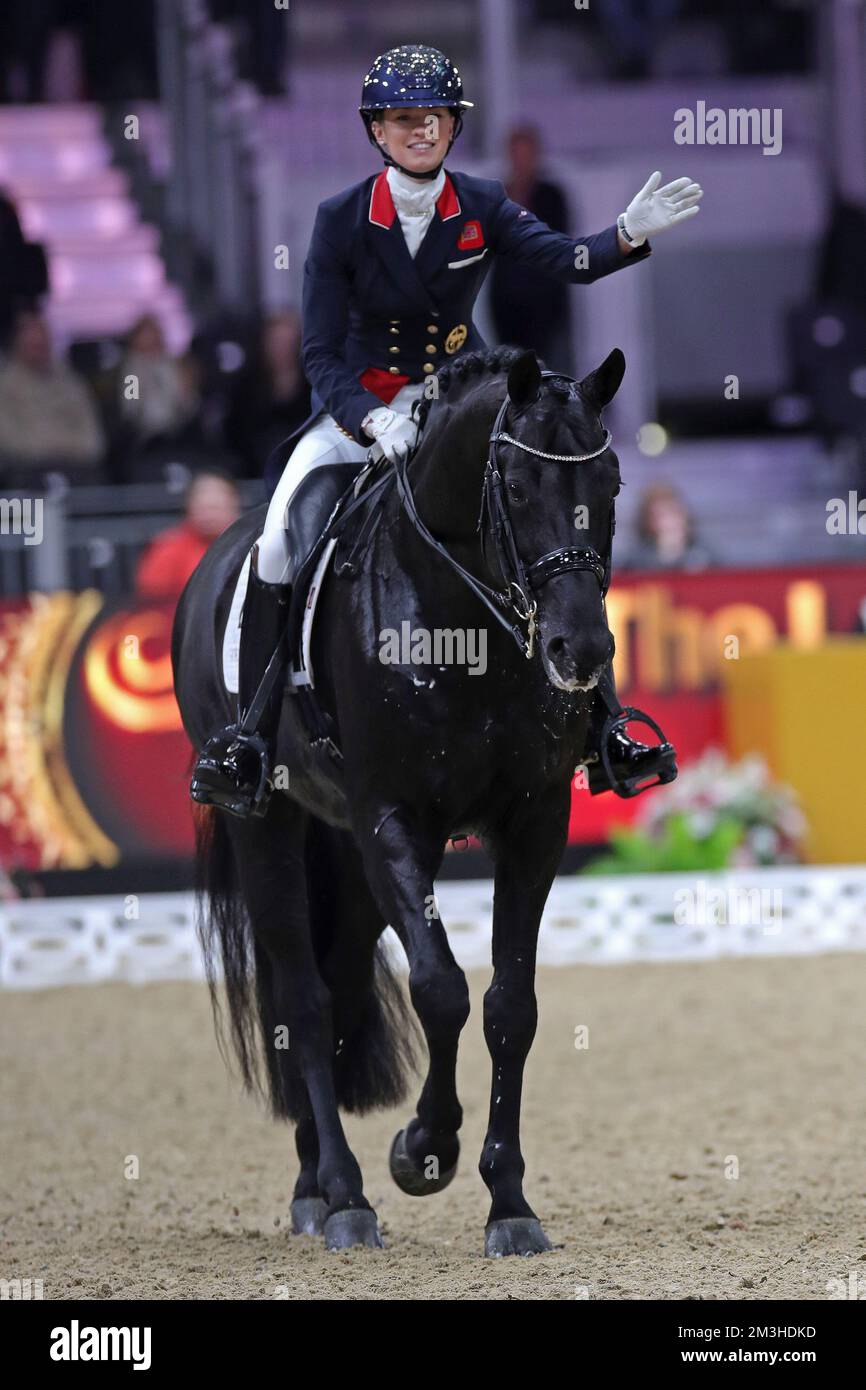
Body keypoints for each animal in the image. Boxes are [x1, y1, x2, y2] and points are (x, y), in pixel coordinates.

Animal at [172, 345, 626, 1256]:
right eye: (514, 487)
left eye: (614, 485)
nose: (582, 649)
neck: (462, 618)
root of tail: (217, 557)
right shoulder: (392, 818)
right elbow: (441, 988)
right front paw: (423, 1150)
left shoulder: (535, 821)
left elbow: (509, 1007)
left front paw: (509, 1203)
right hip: (271, 825)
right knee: (305, 999)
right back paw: (345, 1196)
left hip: (344, 854)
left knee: (339, 984)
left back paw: (314, 1184)